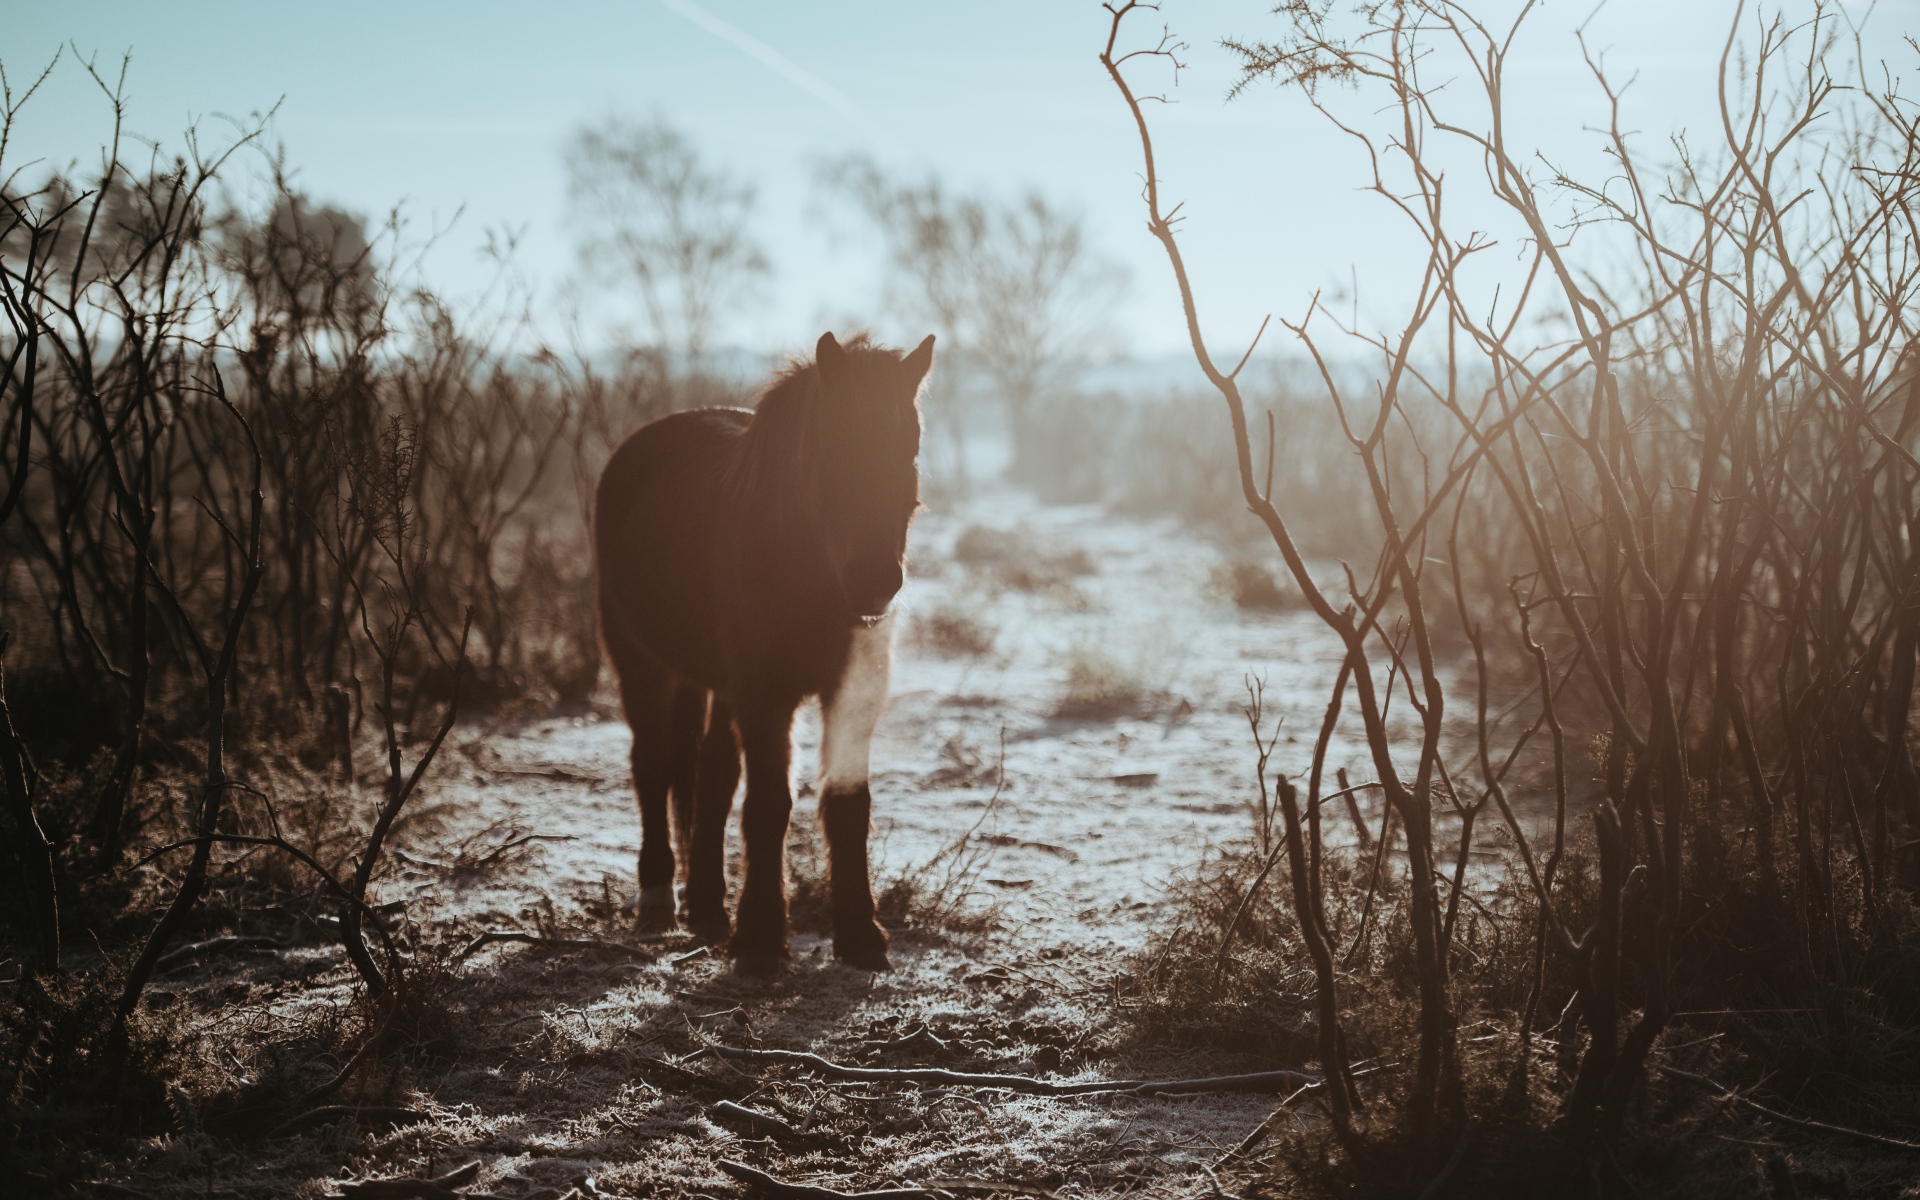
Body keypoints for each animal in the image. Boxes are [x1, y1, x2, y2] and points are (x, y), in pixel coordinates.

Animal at [593, 331, 934, 972]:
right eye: (833, 446)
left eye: (910, 448)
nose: (874, 580)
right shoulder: (765, 694)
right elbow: (770, 804)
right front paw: (758, 936)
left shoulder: (851, 692)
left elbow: (846, 804)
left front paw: (860, 934)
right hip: (641, 665)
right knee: (651, 766)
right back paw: (657, 898)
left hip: (713, 683)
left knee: (710, 772)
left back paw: (705, 906)